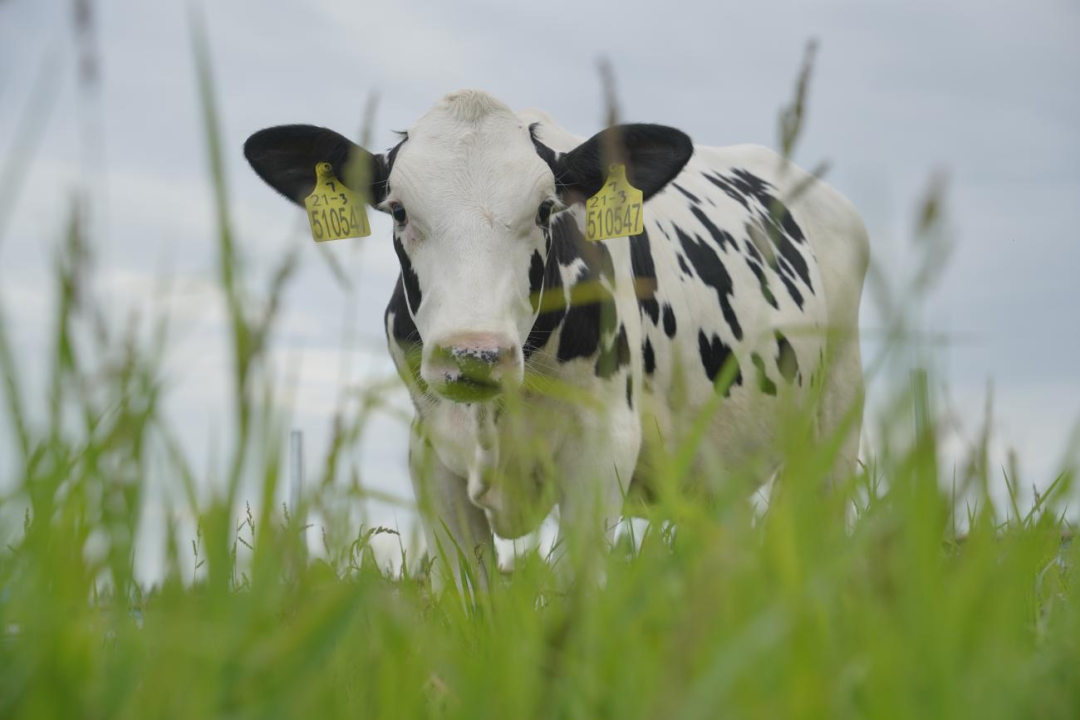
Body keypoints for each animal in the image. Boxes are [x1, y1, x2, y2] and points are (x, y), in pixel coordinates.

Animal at [245, 87, 868, 587]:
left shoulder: (603, 446)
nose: (474, 353)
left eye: (546, 209)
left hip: (832, 430)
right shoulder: (432, 457)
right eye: (398, 211)